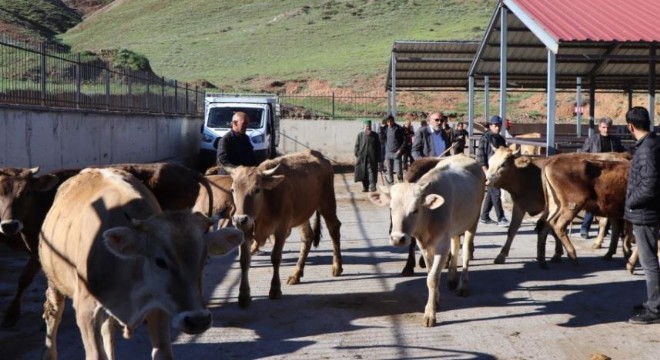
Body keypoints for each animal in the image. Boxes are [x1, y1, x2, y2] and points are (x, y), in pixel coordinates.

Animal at [227, 149, 342, 306]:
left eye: (257, 190)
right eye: (233, 190)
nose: (239, 219)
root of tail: (320, 157)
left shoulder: (281, 229)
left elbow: (276, 257)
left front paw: (275, 289)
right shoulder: (245, 230)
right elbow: (244, 261)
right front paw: (244, 295)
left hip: (327, 202)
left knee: (334, 228)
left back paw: (337, 266)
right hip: (302, 215)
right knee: (307, 237)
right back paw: (296, 273)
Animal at [372, 155, 484, 326]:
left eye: (415, 210)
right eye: (391, 208)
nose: (398, 238)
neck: (429, 218)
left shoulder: (441, 246)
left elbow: (433, 278)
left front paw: (430, 314)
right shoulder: (424, 246)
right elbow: (429, 273)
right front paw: (435, 300)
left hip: (473, 221)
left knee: (465, 251)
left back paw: (463, 286)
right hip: (454, 227)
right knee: (455, 243)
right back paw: (452, 278)